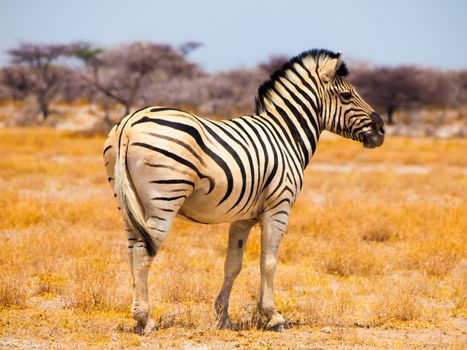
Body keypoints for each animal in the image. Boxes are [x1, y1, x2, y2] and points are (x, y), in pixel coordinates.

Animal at [104, 47, 386, 334]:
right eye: (347, 96)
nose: (382, 130)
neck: (286, 136)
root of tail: (129, 123)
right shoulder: (279, 206)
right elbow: (268, 262)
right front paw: (273, 315)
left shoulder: (242, 217)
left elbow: (232, 264)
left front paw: (222, 317)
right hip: (164, 198)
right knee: (143, 252)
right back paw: (144, 319)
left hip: (127, 203)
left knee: (132, 250)